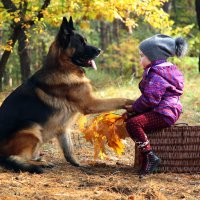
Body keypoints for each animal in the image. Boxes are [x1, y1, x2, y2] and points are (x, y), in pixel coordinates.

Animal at [0, 16, 133, 173]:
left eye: (85, 40)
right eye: (81, 42)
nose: (99, 50)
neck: (63, 67)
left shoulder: (63, 128)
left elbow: (69, 150)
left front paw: (78, 164)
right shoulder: (91, 104)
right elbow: (119, 99)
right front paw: (135, 100)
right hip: (32, 128)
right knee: (14, 158)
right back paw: (39, 163)